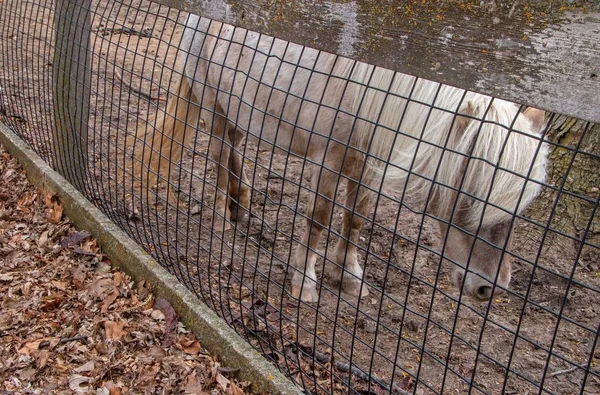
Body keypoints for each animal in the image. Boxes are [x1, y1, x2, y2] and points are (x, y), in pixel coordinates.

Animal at [136, 13, 548, 302]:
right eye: (470, 196)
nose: (491, 288)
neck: (373, 88)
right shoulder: (329, 159)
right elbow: (319, 218)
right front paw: (304, 281)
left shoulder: (364, 164)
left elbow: (355, 219)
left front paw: (349, 275)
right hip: (215, 106)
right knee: (221, 155)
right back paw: (223, 214)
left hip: (239, 106)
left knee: (236, 147)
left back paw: (243, 202)